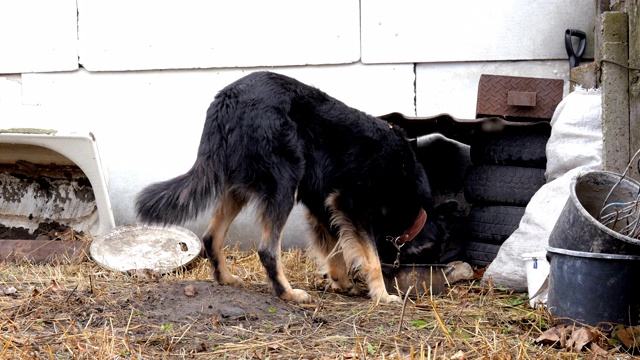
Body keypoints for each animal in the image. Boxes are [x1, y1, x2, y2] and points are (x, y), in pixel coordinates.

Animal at [135, 71, 444, 302]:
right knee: (267, 249)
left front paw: (342, 282)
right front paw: (382, 295)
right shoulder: (351, 202)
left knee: (212, 237)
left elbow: (335, 248)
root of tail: (226, 101)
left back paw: (226, 279)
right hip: (284, 182)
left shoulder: (324, 204)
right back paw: (288, 293)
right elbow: (371, 258)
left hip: (238, 187)